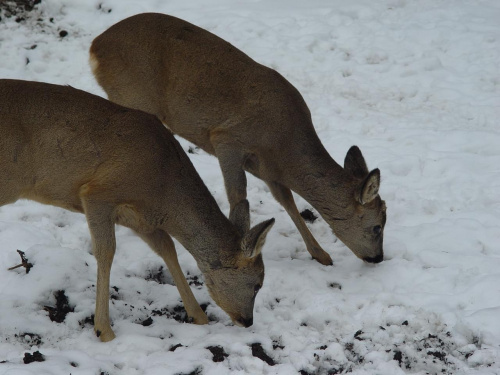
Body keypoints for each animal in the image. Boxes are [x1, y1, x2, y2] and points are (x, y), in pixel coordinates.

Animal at [0, 80, 274, 344]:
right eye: (257, 284)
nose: (247, 321)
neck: (164, 189)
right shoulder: (97, 193)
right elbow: (106, 251)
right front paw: (104, 331)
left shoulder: (140, 219)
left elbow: (167, 249)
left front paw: (199, 316)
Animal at [90, 13, 386, 268]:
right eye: (377, 226)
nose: (377, 258)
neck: (283, 145)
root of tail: (96, 46)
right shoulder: (227, 139)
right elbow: (238, 197)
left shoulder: (265, 167)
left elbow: (287, 200)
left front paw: (321, 254)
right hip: (132, 96)